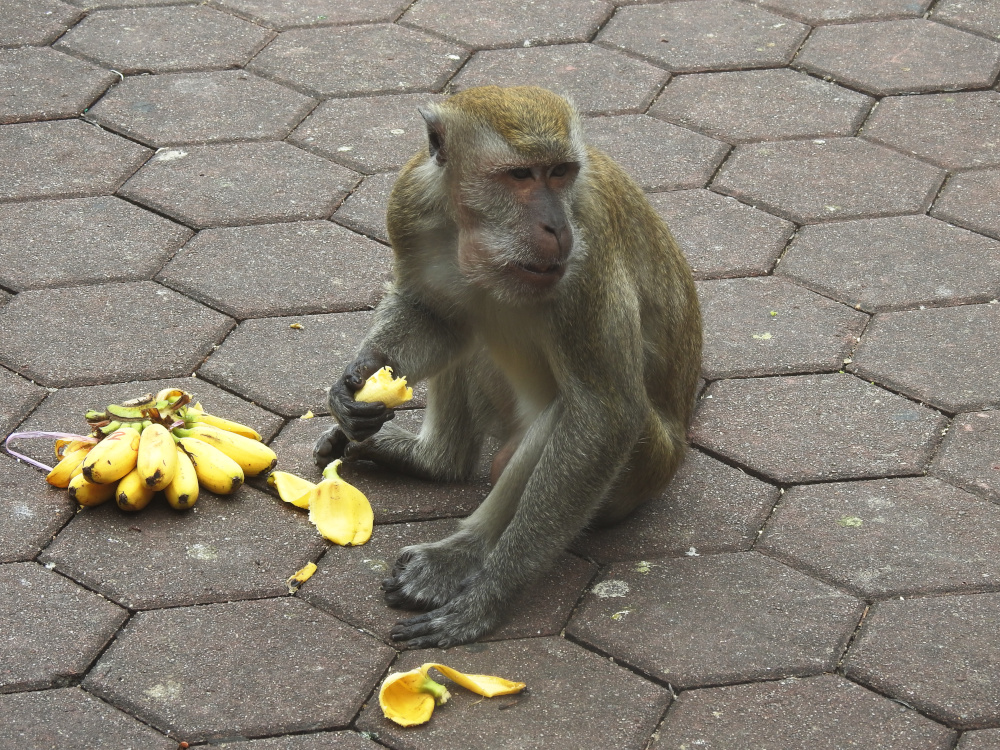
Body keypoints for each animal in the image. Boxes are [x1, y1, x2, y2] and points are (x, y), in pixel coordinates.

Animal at [314, 86, 704, 652]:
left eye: (560, 172)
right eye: (520, 176)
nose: (554, 226)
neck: (478, 232)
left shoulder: (587, 253)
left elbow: (604, 417)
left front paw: (489, 596)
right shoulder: (411, 202)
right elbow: (434, 316)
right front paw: (356, 383)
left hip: (647, 467)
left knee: (571, 416)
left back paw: (461, 554)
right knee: (467, 317)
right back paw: (436, 460)